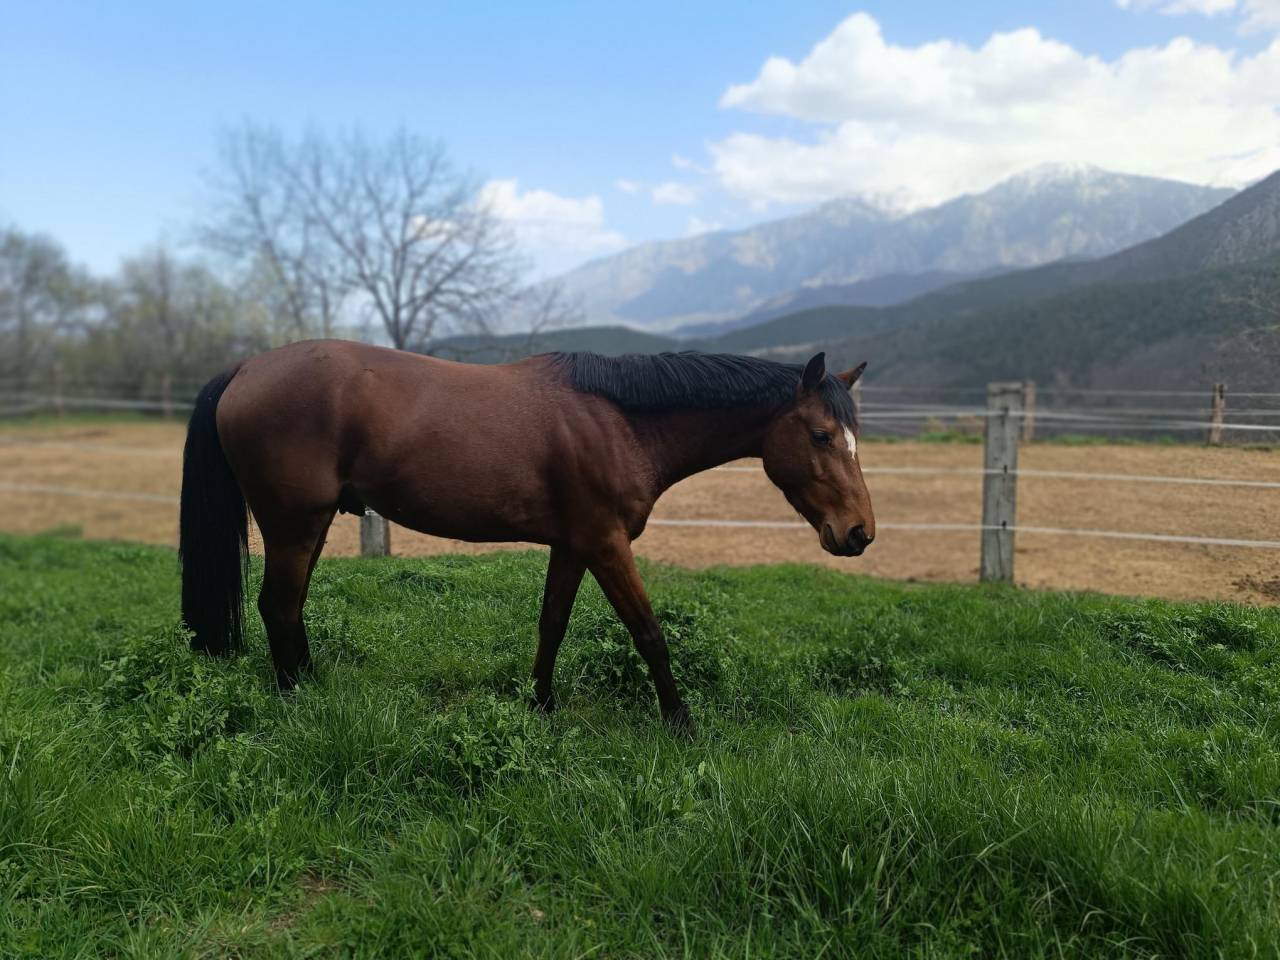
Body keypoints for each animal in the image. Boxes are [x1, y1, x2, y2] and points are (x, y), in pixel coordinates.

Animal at [179, 341, 874, 731]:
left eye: (853, 437)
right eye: (820, 435)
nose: (859, 532)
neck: (620, 420)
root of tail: (244, 368)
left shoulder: (572, 545)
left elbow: (552, 625)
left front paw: (540, 706)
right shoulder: (605, 542)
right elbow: (649, 633)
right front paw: (680, 723)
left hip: (311, 526)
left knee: (290, 608)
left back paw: (312, 685)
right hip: (294, 525)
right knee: (278, 606)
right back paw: (296, 699)